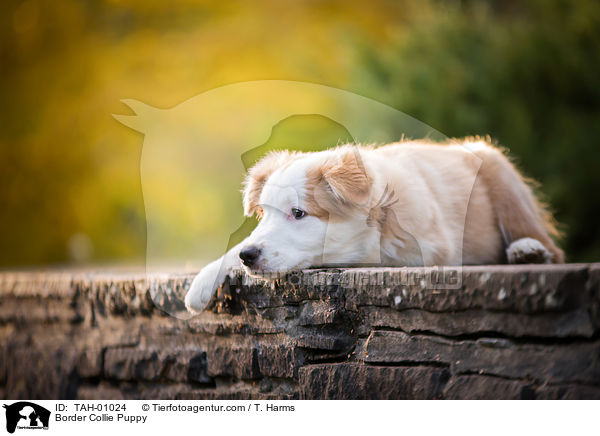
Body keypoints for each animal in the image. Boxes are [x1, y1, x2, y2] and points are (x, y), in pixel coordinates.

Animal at [184, 138, 564, 312]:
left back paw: (528, 251)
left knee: (551, 247)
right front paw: (200, 286)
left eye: (299, 213)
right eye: (264, 213)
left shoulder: (424, 249)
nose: (249, 257)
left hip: (502, 176)